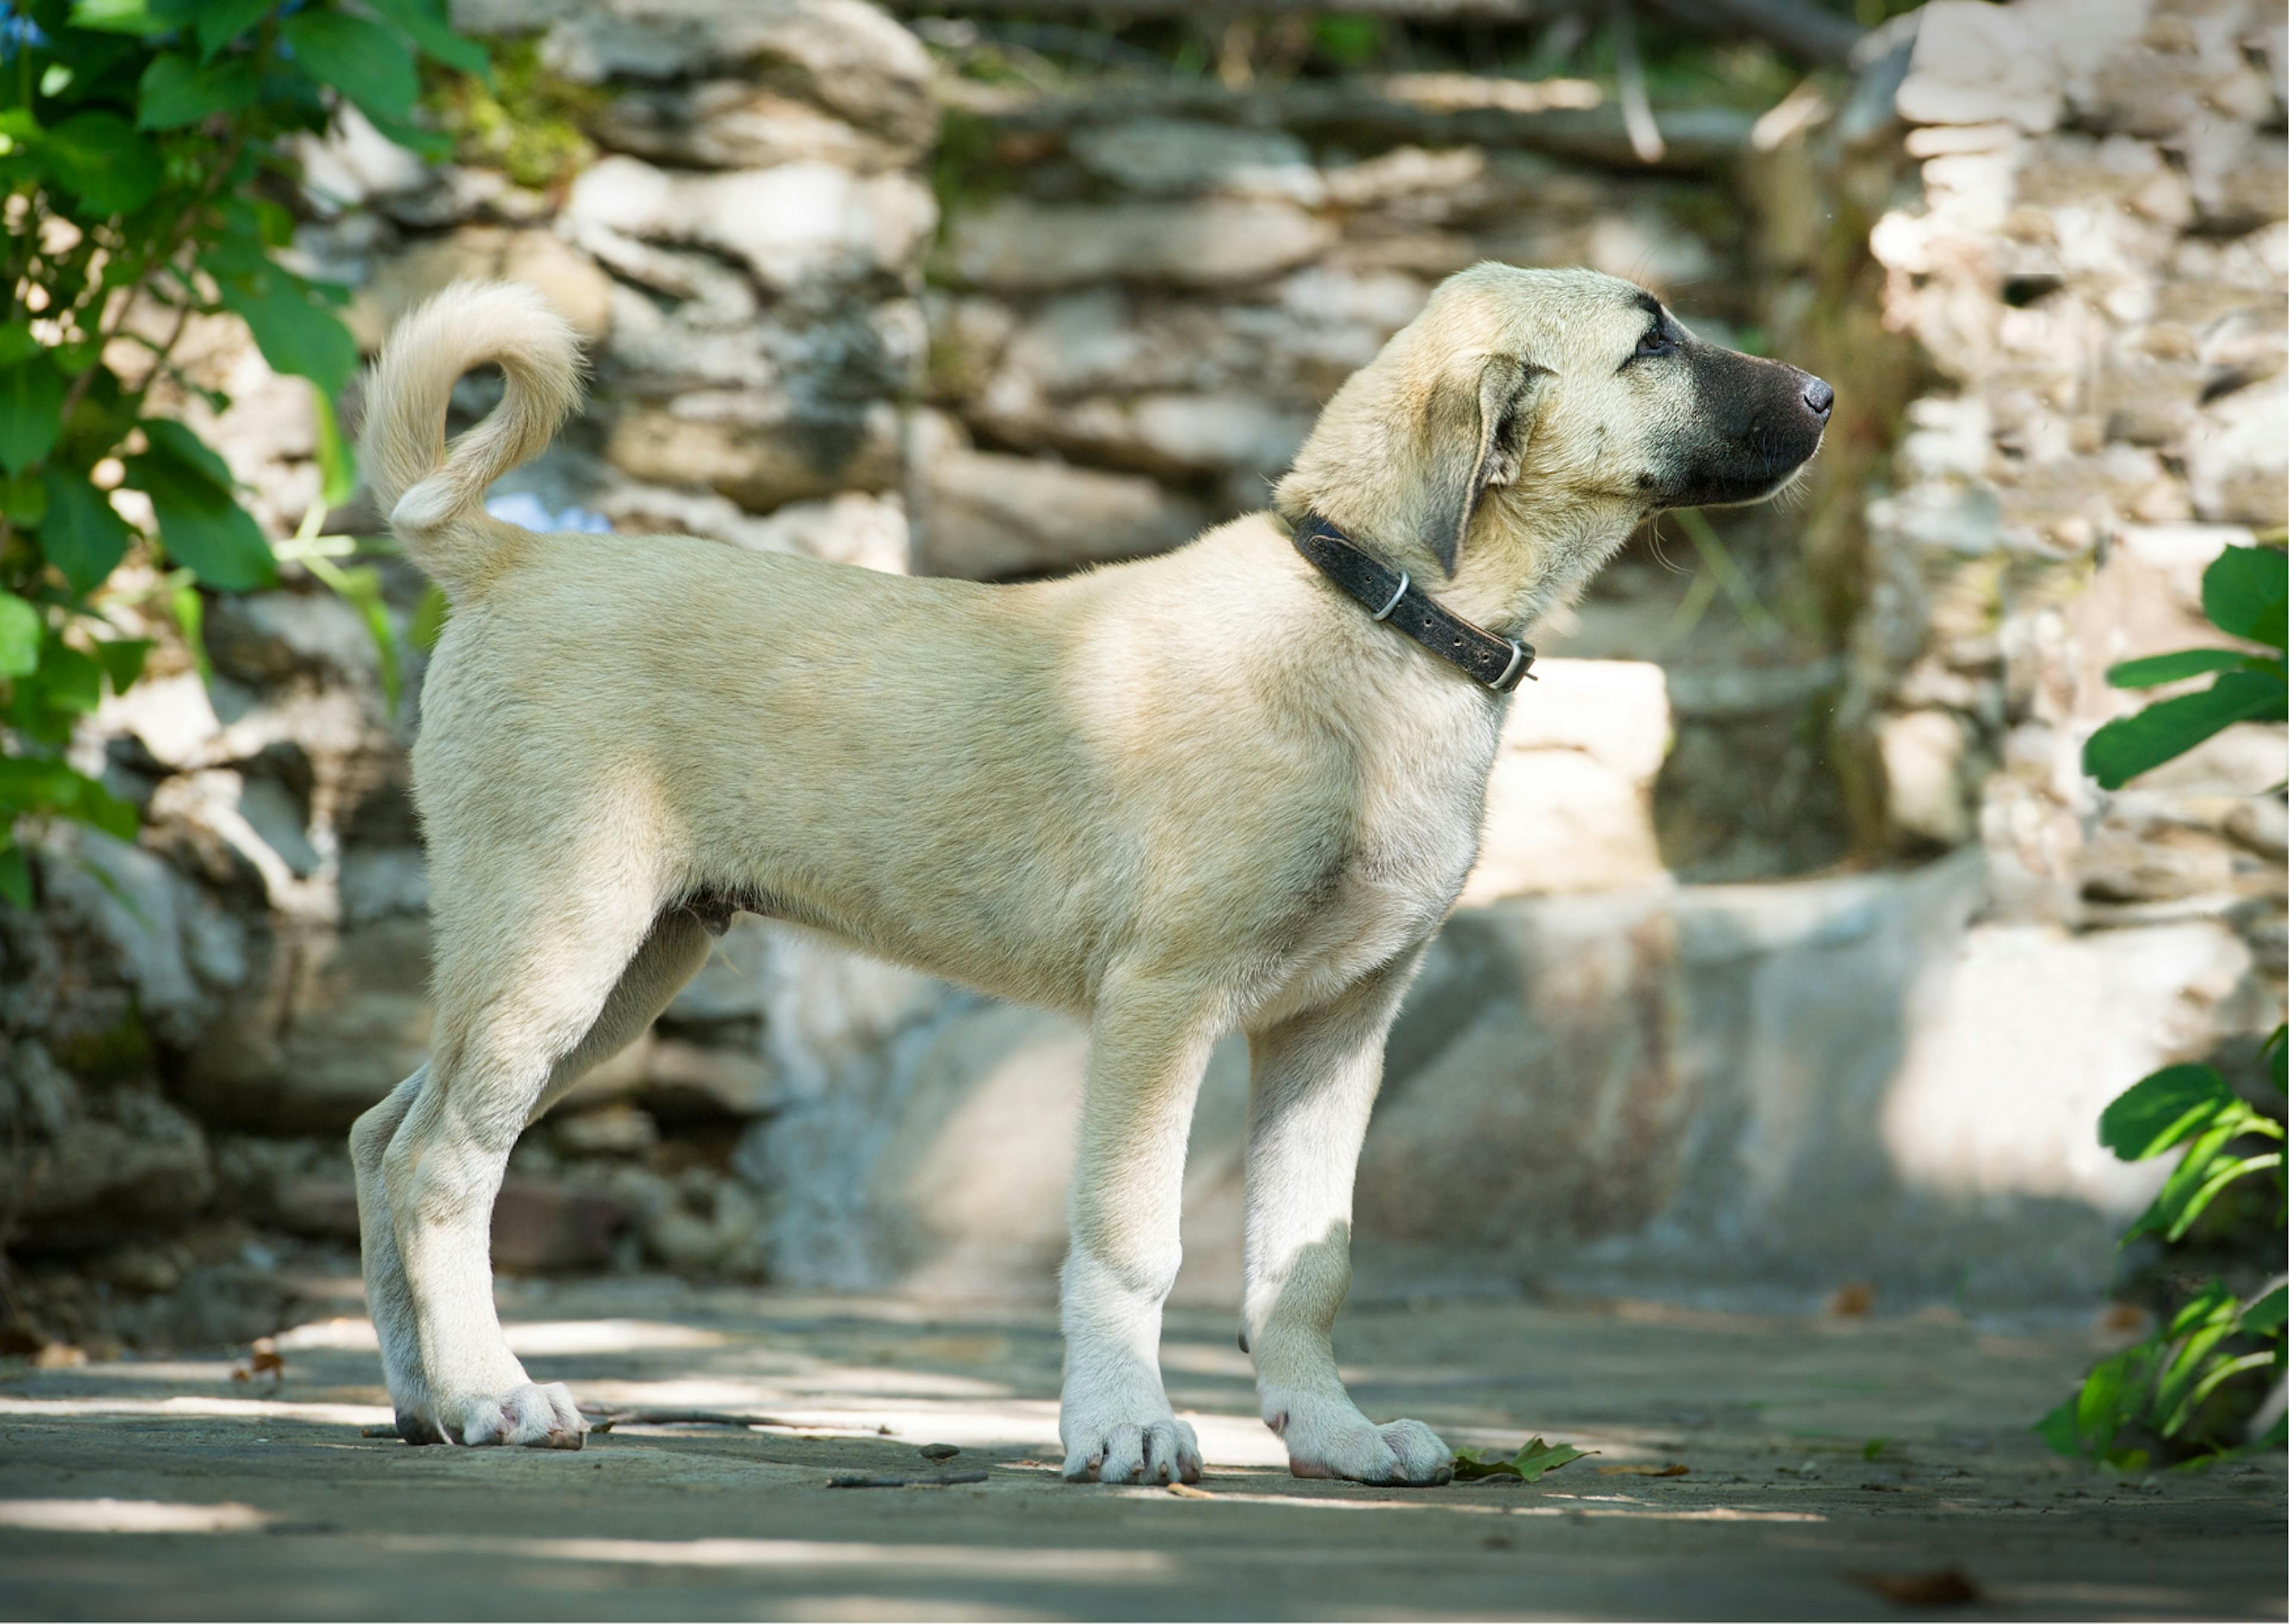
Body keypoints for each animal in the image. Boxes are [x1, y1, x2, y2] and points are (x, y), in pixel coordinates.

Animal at [348, 265, 1832, 1484]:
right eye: (1653, 342)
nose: (1826, 393)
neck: (1376, 617)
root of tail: (512, 560)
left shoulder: (1336, 1026)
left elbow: (1308, 1256)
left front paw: (1332, 1433)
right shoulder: (1160, 1006)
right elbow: (1133, 1241)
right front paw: (1122, 1425)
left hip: (621, 969)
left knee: (381, 1134)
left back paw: (425, 1400)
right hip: (560, 940)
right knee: (443, 1162)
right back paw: (491, 1394)